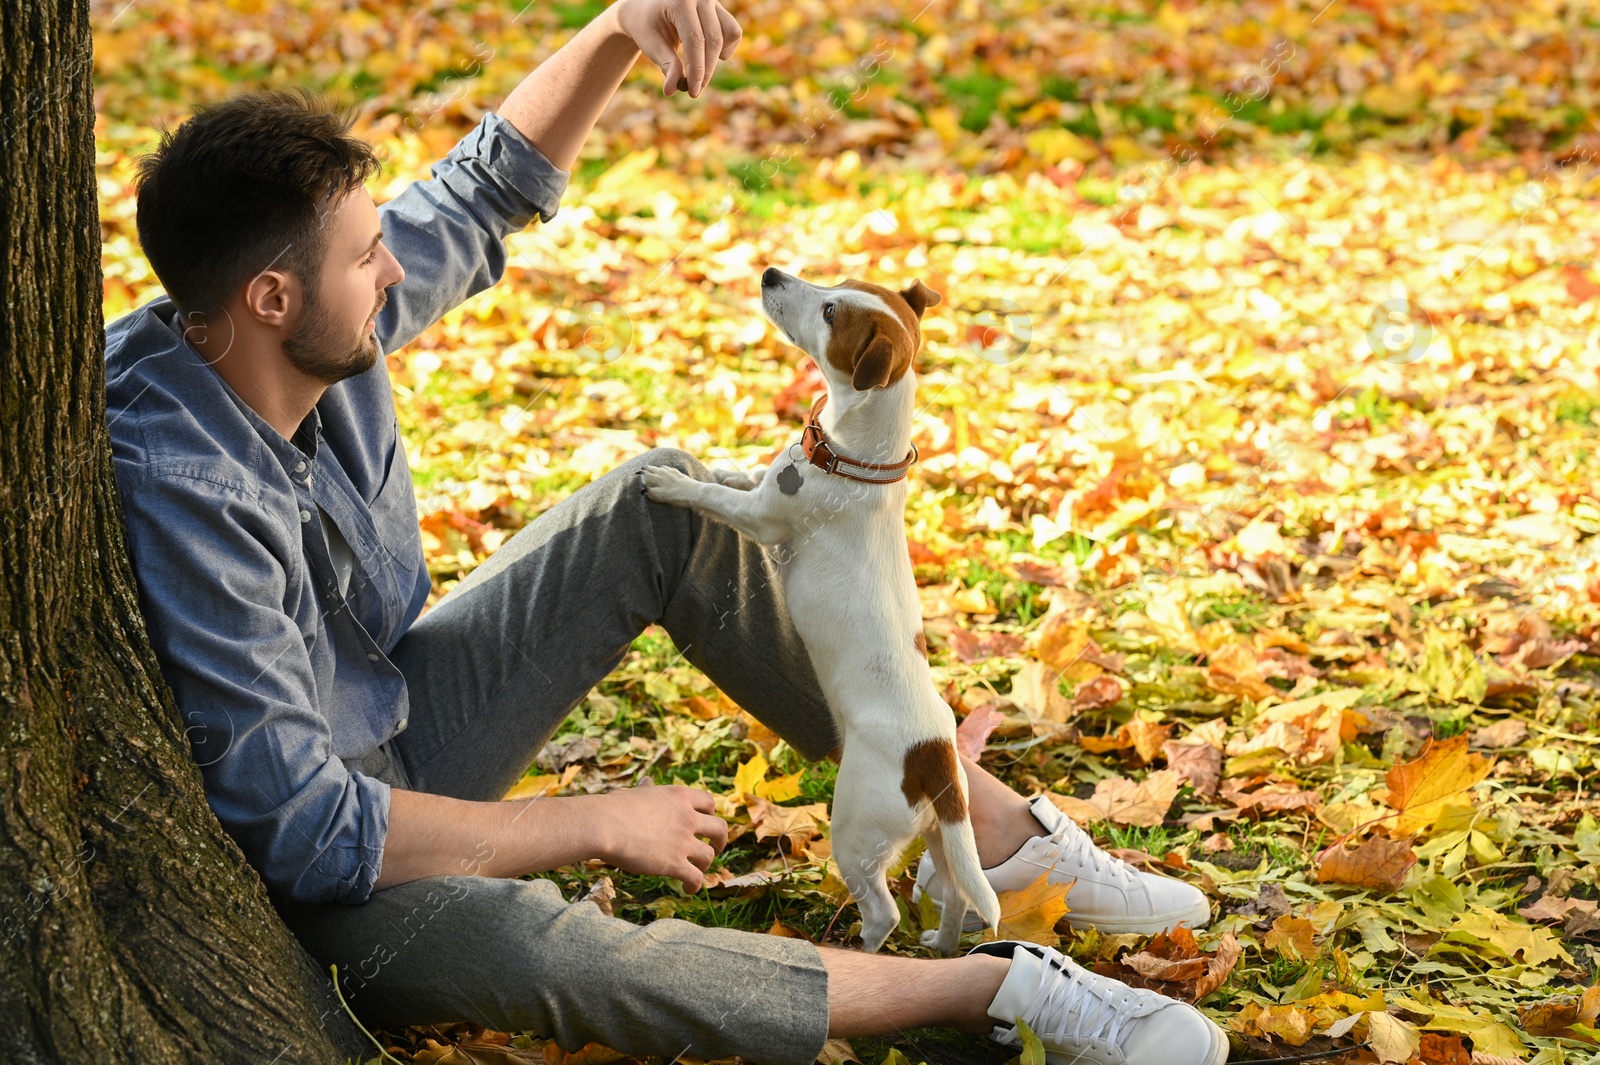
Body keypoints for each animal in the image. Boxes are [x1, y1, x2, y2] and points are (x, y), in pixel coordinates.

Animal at [640, 267, 998, 953]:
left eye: (831, 311)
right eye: (843, 279)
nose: (771, 272)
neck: (859, 461)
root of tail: (935, 754)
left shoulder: (761, 521)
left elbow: (714, 499)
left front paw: (672, 483)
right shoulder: (763, 488)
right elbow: (739, 475)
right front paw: (716, 462)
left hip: (854, 829)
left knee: (882, 909)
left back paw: (853, 947)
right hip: (940, 835)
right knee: (954, 893)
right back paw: (938, 944)